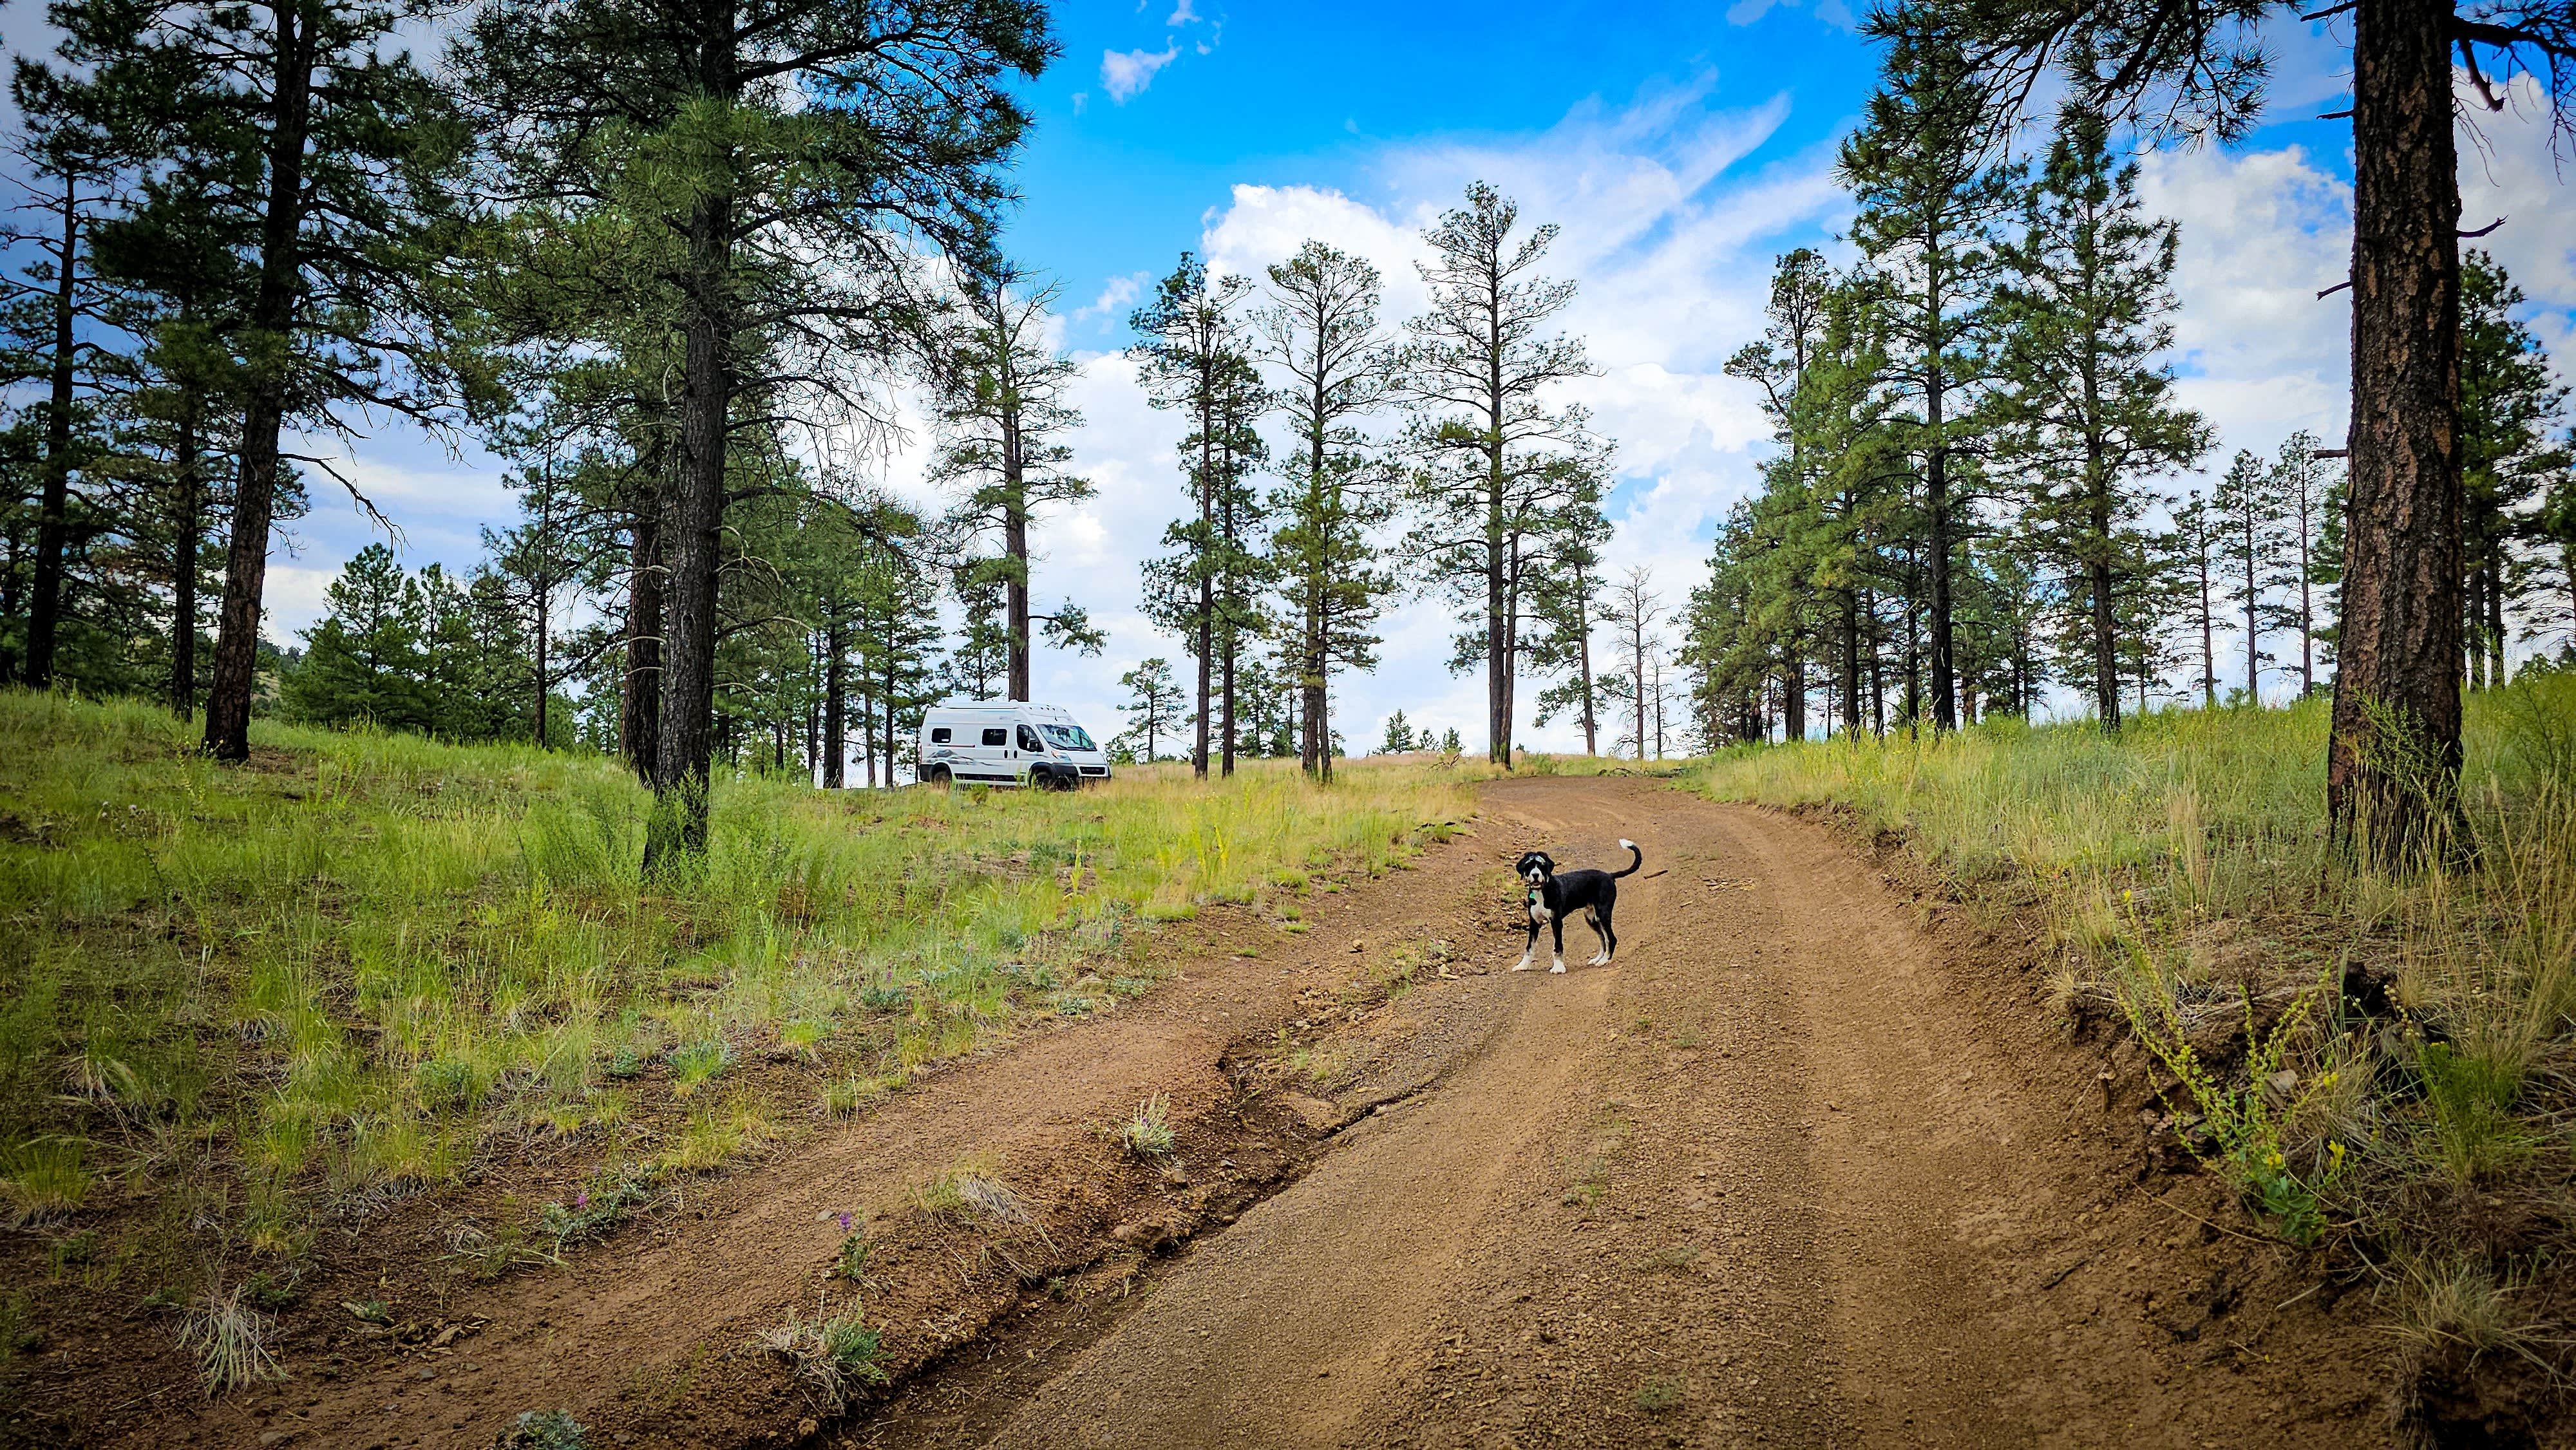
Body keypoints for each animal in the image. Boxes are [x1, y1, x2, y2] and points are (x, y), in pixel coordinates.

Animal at [1515, 840, 1638, 974]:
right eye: (1529, 865)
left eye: (1541, 865)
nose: (1536, 875)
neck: (1541, 892)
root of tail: (1610, 875)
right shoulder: (1534, 923)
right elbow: (1529, 948)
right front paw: (1522, 965)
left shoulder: (1556, 922)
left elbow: (1557, 946)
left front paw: (1558, 967)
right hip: (1592, 919)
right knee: (1603, 940)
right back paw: (1597, 959)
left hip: (1603, 914)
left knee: (1611, 939)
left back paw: (1604, 961)